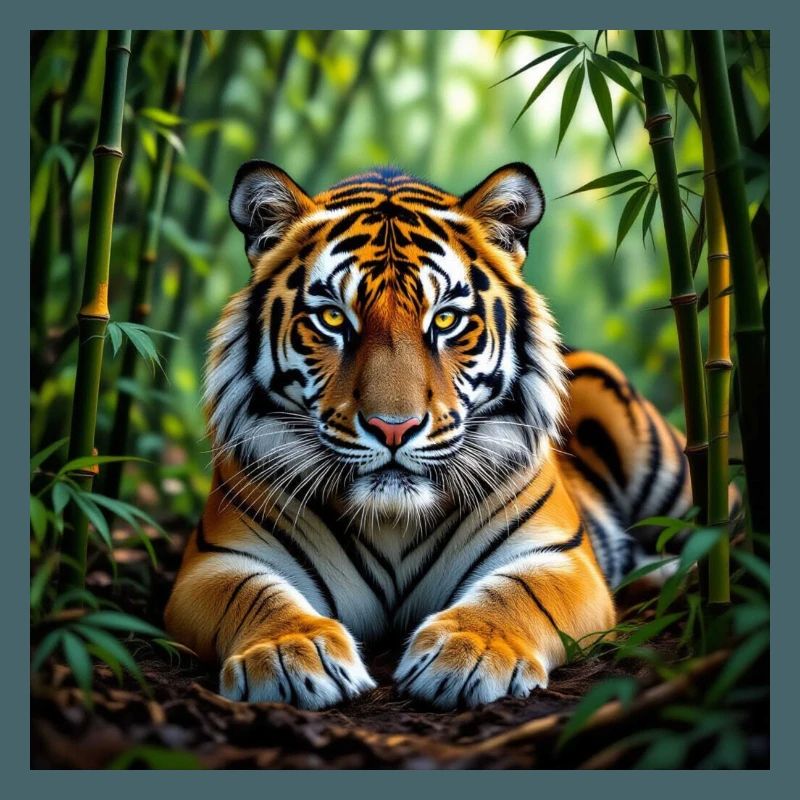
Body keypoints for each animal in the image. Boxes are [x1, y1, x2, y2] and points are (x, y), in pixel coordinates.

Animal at [165, 161, 696, 711]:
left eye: (445, 319)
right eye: (332, 317)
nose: (392, 427)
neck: (392, 521)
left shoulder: (558, 557)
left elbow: (517, 594)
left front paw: (472, 651)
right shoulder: (218, 561)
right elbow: (255, 595)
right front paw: (289, 652)